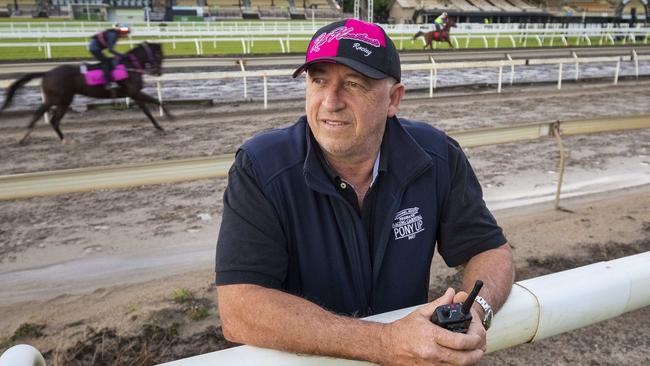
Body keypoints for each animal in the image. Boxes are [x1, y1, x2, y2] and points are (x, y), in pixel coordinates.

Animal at [0, 40, 173, 143]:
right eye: (159, 55)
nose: (159, 72)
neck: (129, 66)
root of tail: (47, 73)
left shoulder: (133, 94)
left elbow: (149, 109)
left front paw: (162, 124)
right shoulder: (135, 92)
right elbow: (155, 103)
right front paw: (168, 118)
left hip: (59, 100)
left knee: (46, 117)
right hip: (61, 99)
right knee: (47, 117)